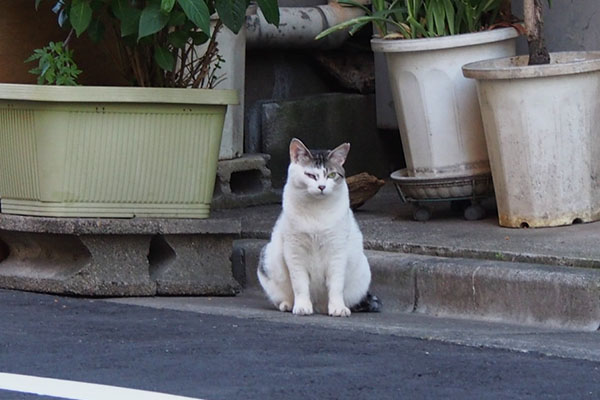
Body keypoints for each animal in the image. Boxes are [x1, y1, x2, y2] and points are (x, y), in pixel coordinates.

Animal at [256, 139, 380, 318]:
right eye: (310, 175)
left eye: (332, 175)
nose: (321, 186)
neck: (316, 211)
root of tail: (318, 307)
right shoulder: (295, 252)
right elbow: (300, 285)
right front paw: (302, 306)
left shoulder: (337, 252)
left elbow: (336, 285)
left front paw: (338, 308)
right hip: (269, 258)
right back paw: (288, 305)